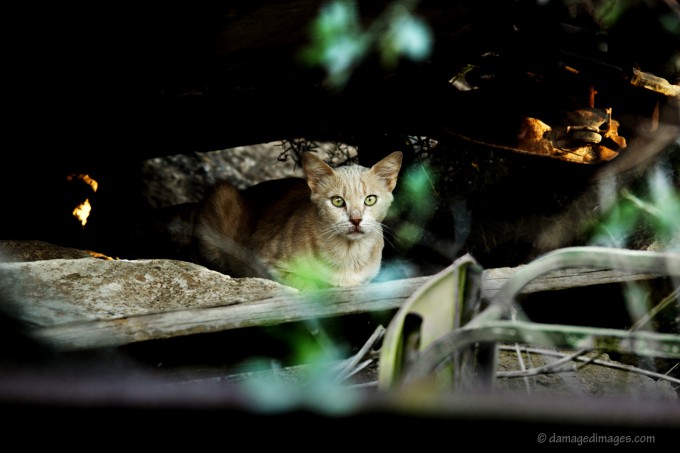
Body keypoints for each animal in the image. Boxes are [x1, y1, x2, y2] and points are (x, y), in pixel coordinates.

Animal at [193, 150, 404, 288]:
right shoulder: (264, 264)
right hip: (222, 195)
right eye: (337, 201)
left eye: (370, 199)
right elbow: (310, 284)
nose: (356, 219)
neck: (349, 254)